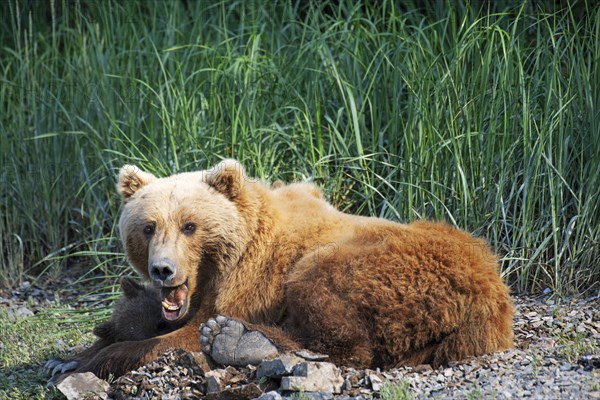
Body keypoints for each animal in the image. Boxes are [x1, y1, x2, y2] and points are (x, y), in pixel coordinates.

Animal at [49, 159, 512, 382]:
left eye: (189, 225)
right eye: (148, 227)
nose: (163, 269)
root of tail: (492, 293)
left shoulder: (253, 281)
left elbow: (178, 335)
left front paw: (90, 359)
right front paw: (69, 357)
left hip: (388, 264)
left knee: (338, 328)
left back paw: (240, 340)